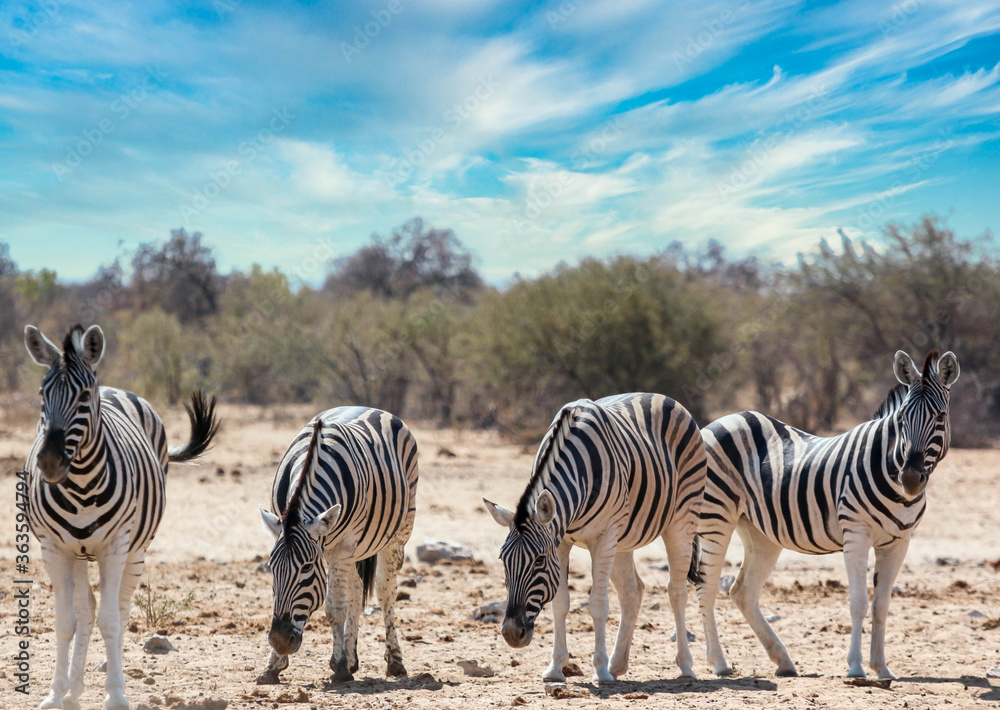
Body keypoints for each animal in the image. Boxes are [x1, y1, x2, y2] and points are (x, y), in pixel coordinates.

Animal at [23, 324, 218, 710]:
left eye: (84, 396)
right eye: (41, 393)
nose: (49, 462)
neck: (81, 484)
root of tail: (115, 388)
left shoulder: (115, 547)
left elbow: (111, 620)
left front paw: (114, 695)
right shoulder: (53, 549)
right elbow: (65, 621)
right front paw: (56, 693)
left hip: (137, 549)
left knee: (122, 608)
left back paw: (111, 679)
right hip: (79, 553)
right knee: (85, 610)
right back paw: (74, 690)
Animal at [257, 406, 419, 685]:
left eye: (307, 568)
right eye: (271, 568)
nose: (280, 640)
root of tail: (373, 408)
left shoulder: (342, 547)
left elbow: (334, 608)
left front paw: (339, 666)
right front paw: (273, 665)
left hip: (399, 530)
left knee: (385, 591)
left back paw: (395, 661)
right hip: (355, 549)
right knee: (356, 591)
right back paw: (353, 659)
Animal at [483, 393, 707, 682]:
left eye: (539, 561)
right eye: (503, 560)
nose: (512, 633)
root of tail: (663, 397)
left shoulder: (603, 537)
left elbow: (598, 603)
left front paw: (599, 670)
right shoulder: (562, 541)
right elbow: (560, 602)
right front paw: (556, 668)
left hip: (681, 520)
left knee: (676, 591)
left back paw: (685, 666)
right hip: (623, 539)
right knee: (632, 592)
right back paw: (618, 664)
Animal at [692, 349, 960, 680]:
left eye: (940, 417)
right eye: (901, 419)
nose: (910, 478)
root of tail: (722, 420)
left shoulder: (899, 542)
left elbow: (881, 605)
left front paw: (881, 668)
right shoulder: (856, 535)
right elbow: (858, 602)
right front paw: (856, 667)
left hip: (760, 531)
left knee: (743, 591)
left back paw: (783, 660)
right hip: (716, 517)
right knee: (706, 586)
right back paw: (719, 662)